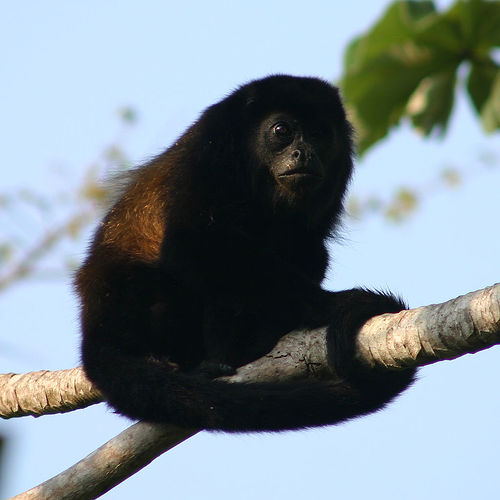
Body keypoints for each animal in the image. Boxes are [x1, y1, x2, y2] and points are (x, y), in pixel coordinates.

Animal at [76, 75, 415, 432]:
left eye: (321, 133)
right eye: (282, 130)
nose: (304, 153)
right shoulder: (212, 148)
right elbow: (191, 241)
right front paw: (331, 303)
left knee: (311, 250)